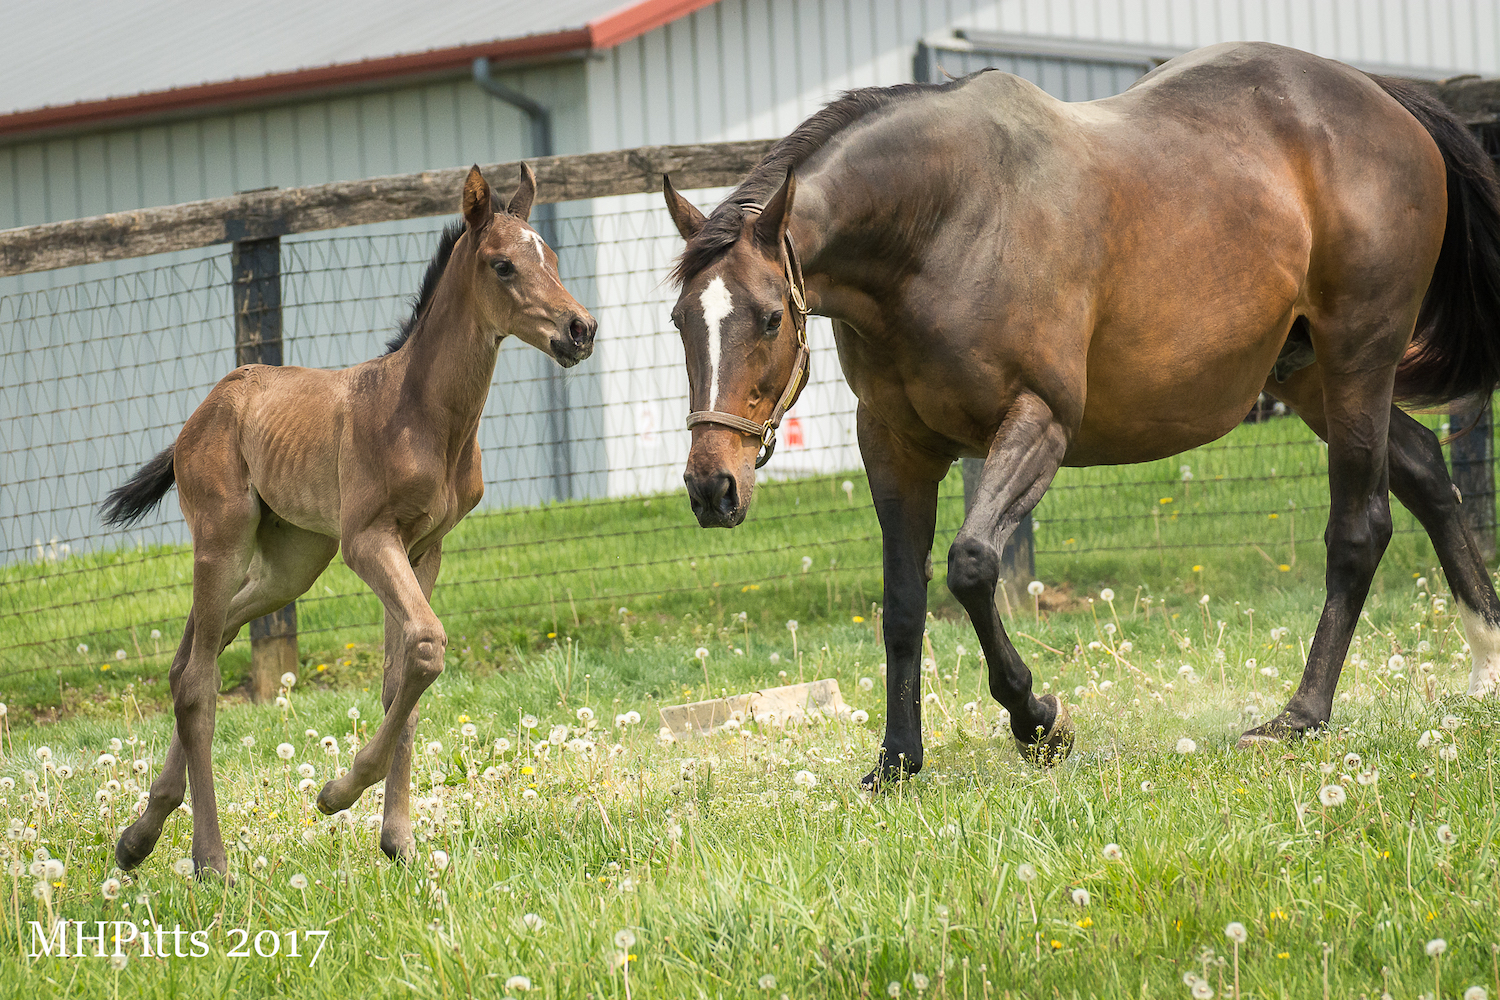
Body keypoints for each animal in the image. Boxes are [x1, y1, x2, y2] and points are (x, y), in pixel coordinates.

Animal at [101, 167, 597, 869]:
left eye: (550, 258)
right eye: (503, 265)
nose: (581, 330)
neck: (424, 415)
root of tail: (201, 414)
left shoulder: (423, 549)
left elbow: (402, 678)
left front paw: (398, 840)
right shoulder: (367, 541)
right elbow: (427, 647)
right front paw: (338, 793)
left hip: (292, 563)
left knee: (199, 648)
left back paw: (141, 831)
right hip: (222, 539)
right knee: (197, 677)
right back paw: (210, 860)